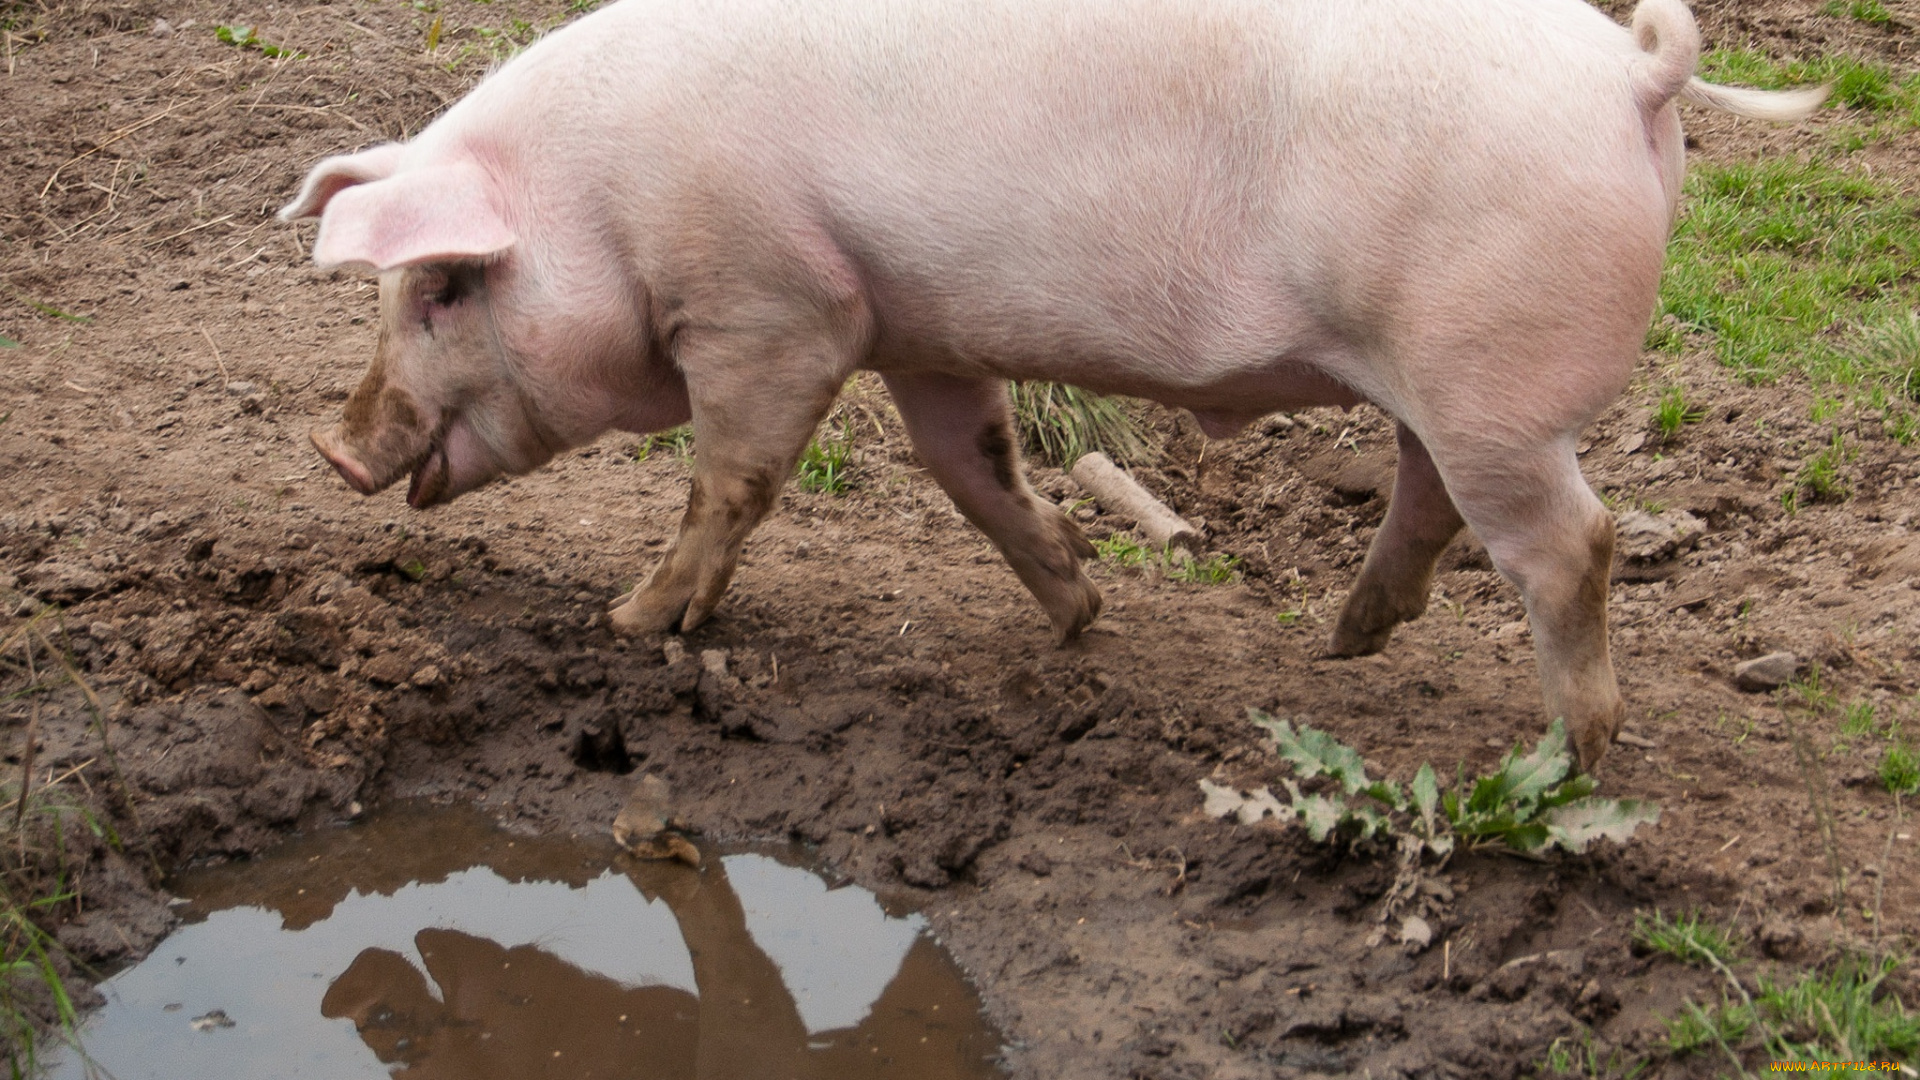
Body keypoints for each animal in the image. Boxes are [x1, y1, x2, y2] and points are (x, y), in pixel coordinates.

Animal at [278, 0, 1820, 764]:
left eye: (443, 287)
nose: (335, 450)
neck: (603, 197)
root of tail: (1630, 71)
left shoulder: (775, 305)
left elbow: (735, 478)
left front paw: (630, 622)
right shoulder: (915, 325)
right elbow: (974, 465)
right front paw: (1080, 614)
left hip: (1493, 372)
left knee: (1573, 543)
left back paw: (1575, 753)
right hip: (1448, 379)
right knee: (1432, 496)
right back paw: (1341, 644)